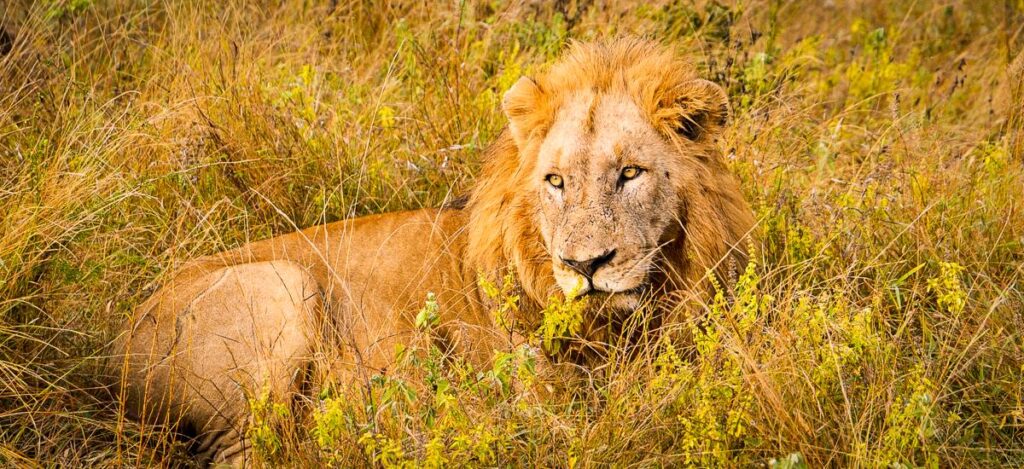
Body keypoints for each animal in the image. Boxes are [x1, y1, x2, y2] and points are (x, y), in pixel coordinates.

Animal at [110, 37, 754, 465]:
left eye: (630, 173)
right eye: (556, 182)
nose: (583, 266)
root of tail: (114, 349)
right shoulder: (537, 407)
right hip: (280, 288)